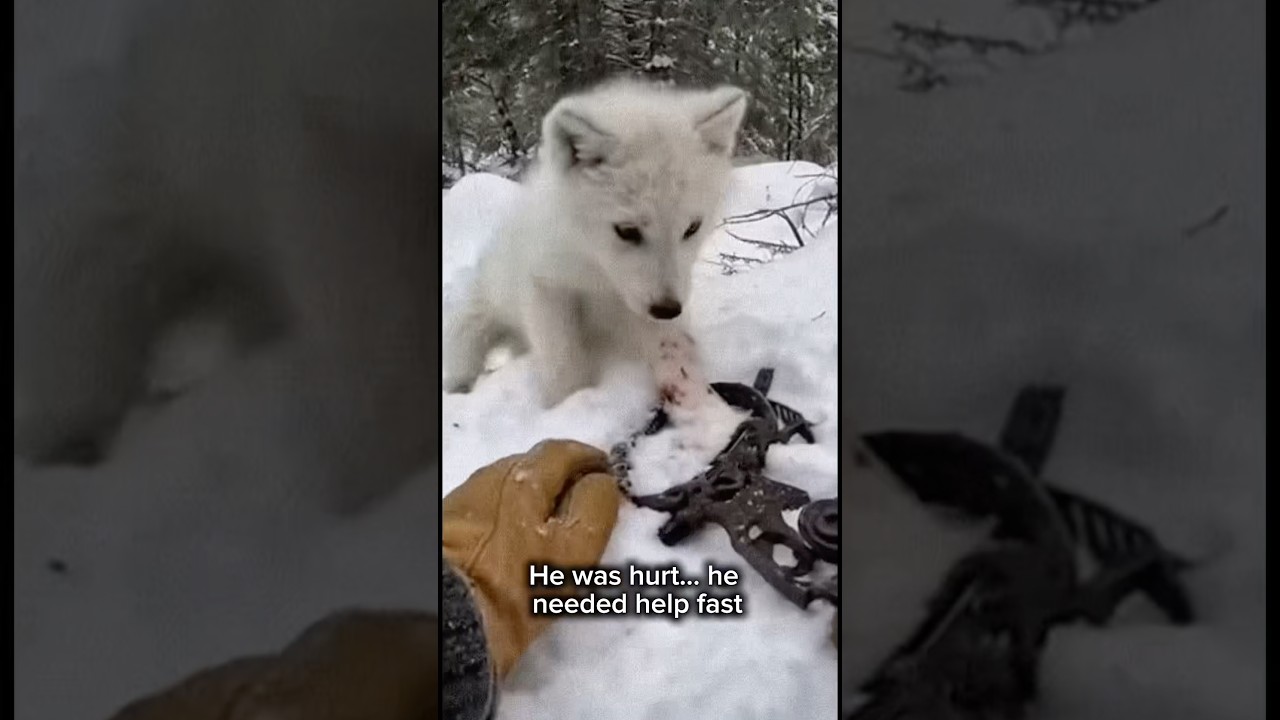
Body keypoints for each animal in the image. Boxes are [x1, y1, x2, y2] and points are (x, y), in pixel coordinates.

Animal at [443, 79, 748, 409]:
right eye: (627, 231)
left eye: (692, 228)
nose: (667, 309)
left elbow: (673, 347)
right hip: (476, 318)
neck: (599, 271)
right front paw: (568, 405)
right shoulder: (547, 287)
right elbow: (563, 360)